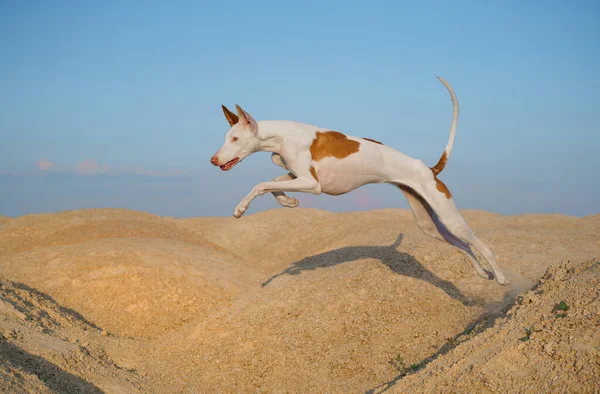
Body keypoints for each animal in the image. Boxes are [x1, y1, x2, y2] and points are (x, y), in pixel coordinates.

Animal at [209, 77, 508, 284]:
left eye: (234, 138)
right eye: (226, 138)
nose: (213, 160)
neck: (282, 135)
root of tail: (430, 169)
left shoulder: (313, 185)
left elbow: (261, 184)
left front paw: (241, 208)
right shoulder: (297, 176)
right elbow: (273, 184)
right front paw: (288, 201)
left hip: (449, 216)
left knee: (483, 245)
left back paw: (502, 277)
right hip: (429, 225)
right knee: (465, 246)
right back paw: (483, 274)